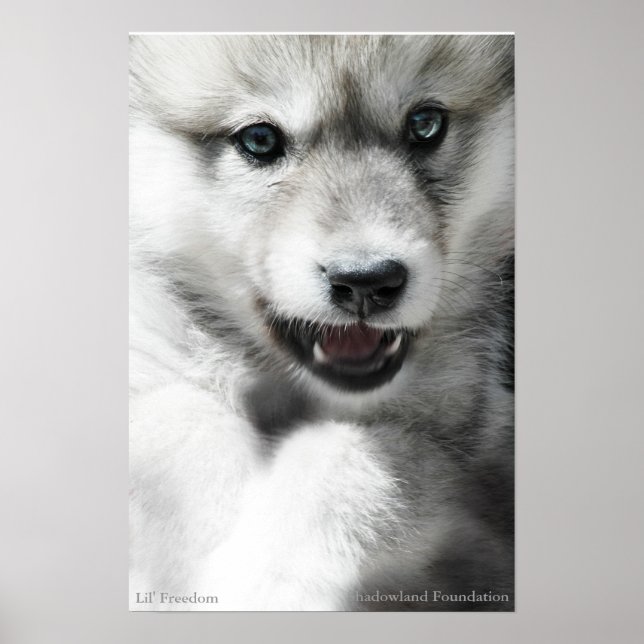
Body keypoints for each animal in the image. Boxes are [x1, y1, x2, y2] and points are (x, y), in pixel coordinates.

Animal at [129, 34, 514, 611]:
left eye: (425, 124)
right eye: (260, 138)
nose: (366, 282)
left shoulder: (458, 444)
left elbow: (352, 457)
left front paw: (264, 581)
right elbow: (177, 413)